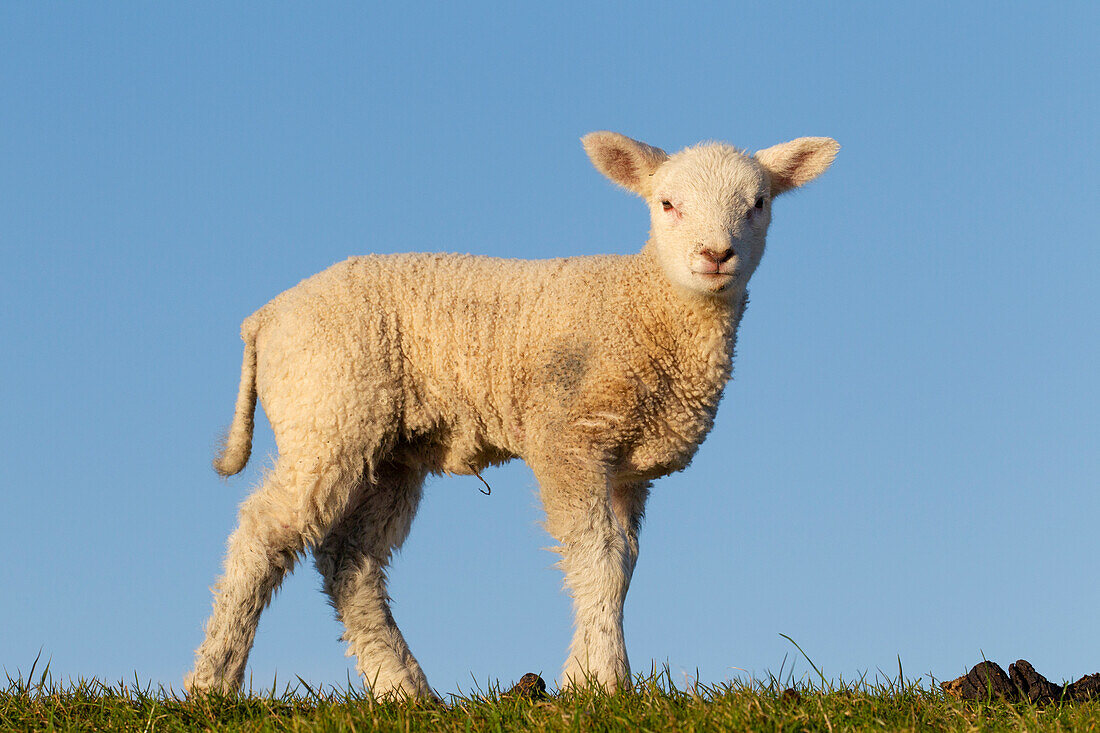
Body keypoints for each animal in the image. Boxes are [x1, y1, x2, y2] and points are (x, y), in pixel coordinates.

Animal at [187, 131, 840, 695]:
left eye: (759, 203)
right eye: (667, 204)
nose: (715, 254)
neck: (647, 302)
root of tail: (266, 316)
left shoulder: (626, 464)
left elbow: (620, 563)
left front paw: (580, 678)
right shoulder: (568, 436)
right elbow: (599, 556)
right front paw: (607, 682)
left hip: (386, 449)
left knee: (352, 562)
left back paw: (404, 690)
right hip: (329, 409)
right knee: (263, 535)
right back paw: (212, 682)